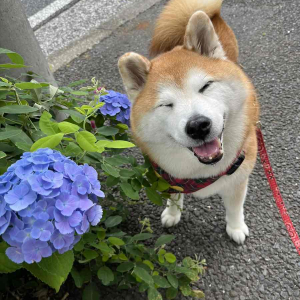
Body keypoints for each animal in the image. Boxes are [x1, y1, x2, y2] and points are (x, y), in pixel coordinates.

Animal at [118, 0, 258, 244]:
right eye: (166, 105)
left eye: (205, 86)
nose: (198, 126)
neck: (201, 172)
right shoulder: (166, 176)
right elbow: (174, 197)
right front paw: (172, 214)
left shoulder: (238, 179)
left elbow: (234, 208)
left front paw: (236, 227)